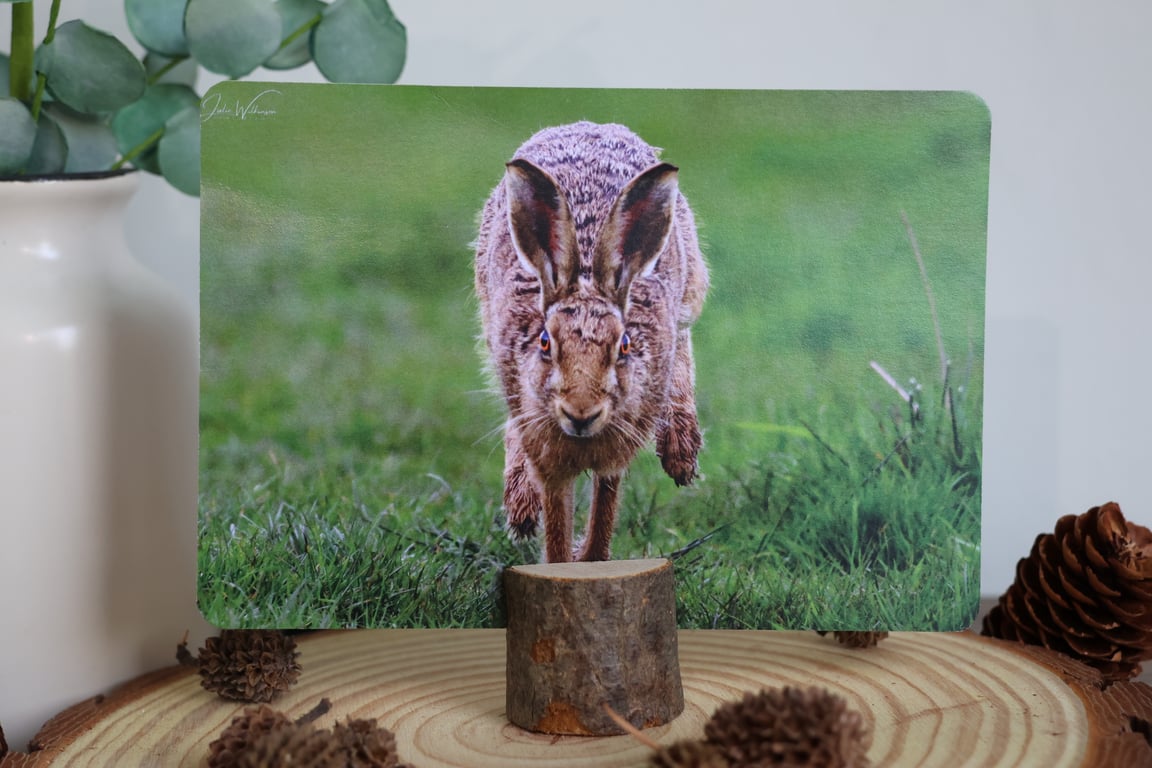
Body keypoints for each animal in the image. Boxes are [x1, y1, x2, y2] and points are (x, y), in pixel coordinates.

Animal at [474, 121, 708, 563]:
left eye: (625, 346)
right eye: (545, 342)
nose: (581, 412)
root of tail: (588, 125)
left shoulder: (621, 439)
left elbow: (606, 499)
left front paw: (593, 558)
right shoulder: (544, 448)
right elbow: (557, 519)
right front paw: (559, 558)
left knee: (684, 345)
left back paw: (681, 452)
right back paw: (520, 507)